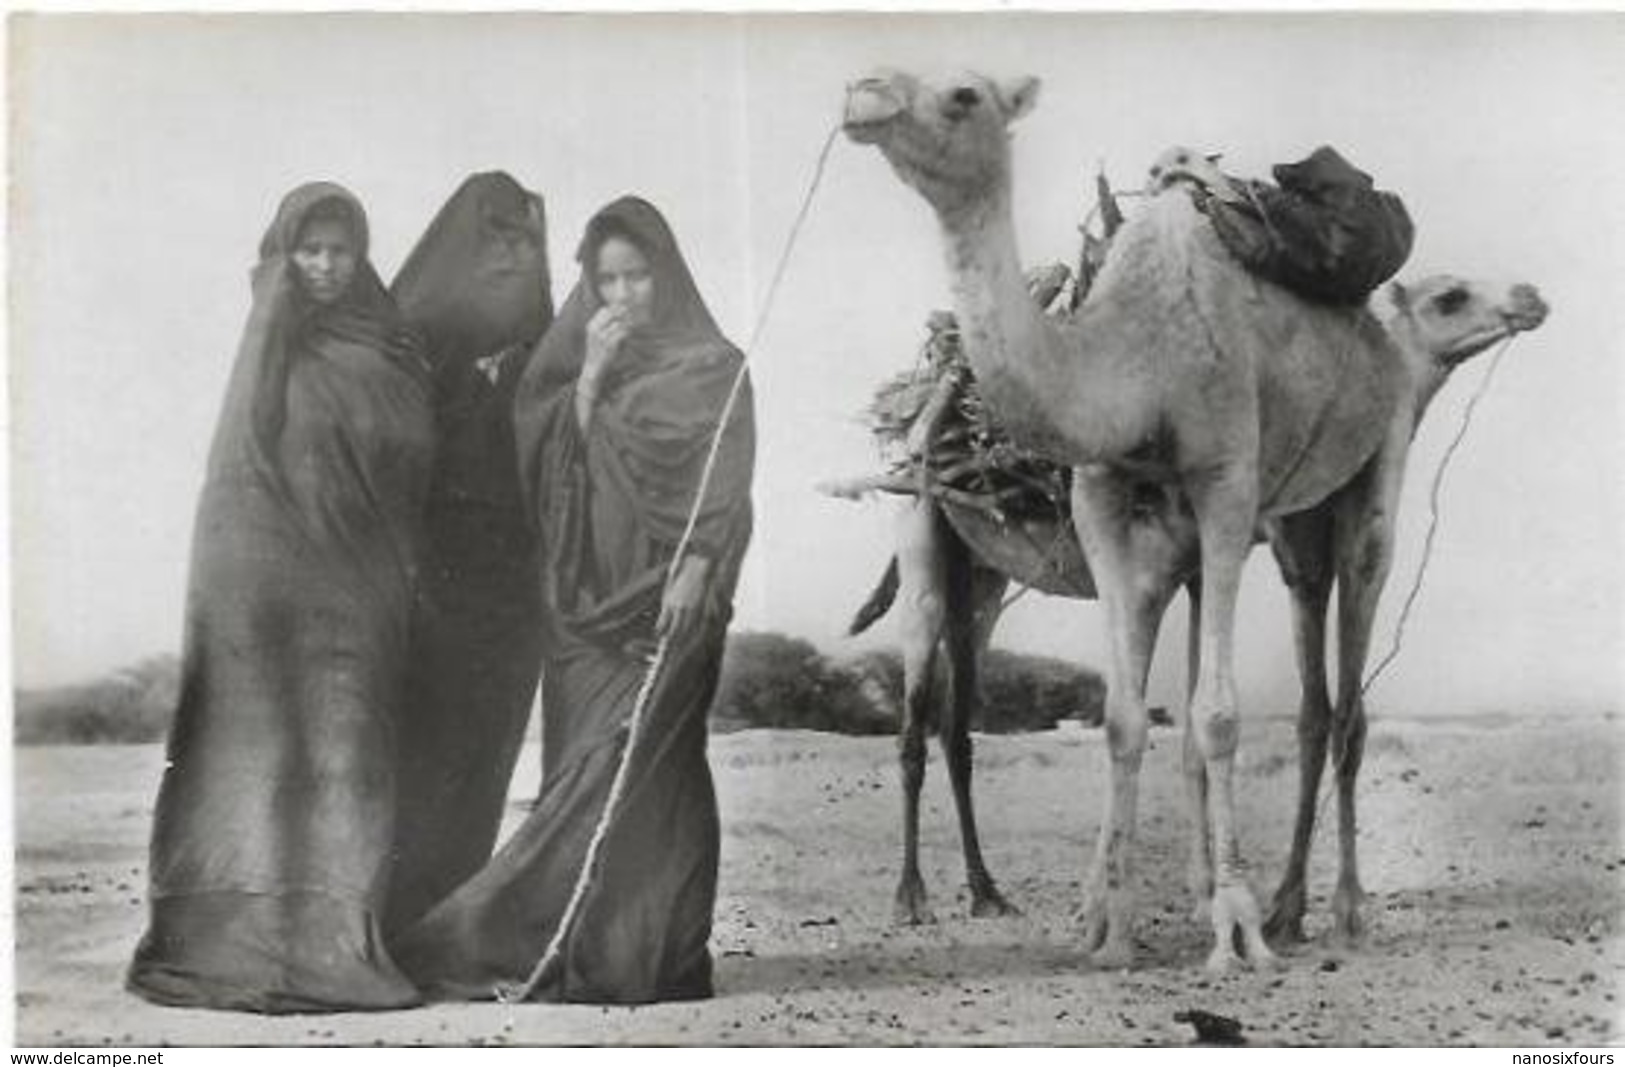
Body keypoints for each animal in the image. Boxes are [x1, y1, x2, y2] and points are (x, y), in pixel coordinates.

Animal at [838, 64, 1547, 967]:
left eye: (964, 93)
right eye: (1451, 295)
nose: (1529, 297)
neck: (1136, 358)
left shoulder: (1223, 503)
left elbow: (1201, 716)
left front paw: (1218, 917)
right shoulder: (1105, 503)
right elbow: (1131, 715)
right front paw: (1119, 921)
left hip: (1357, 483)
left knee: (1346, 682)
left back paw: (1335, 909)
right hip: (937, 545)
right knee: (924, 717)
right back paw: (920, 897)